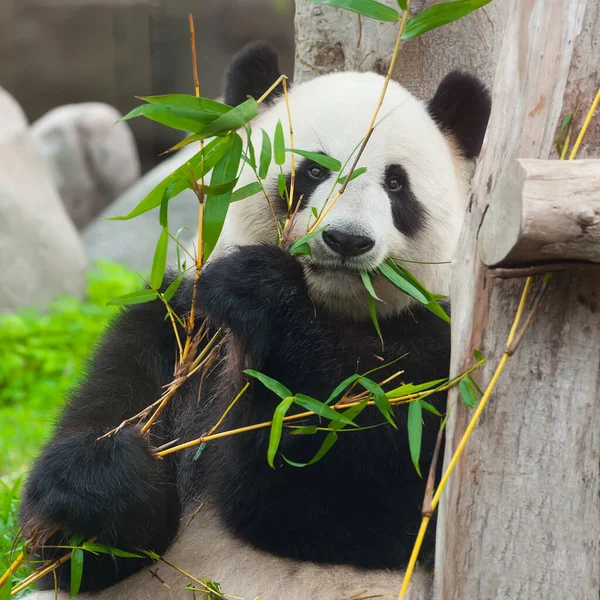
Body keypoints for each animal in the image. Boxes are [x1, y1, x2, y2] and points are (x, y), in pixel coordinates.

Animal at [21, 43, 490, 600]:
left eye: (396, 183)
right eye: (313, 172)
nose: (347, 240)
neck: (333, 311)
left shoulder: (438, 353)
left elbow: (366, 497)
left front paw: (264, 296)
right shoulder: (173, 327)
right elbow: (79, 548)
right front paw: (103, 471)